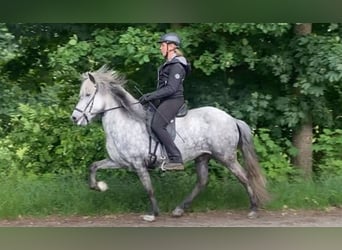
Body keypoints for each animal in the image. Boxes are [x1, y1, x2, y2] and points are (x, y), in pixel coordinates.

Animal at [71, 66, 270, 221]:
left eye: (88, 95)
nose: (74, 118)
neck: (125, 121)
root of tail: (231, 119)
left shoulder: (138, 164)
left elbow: (148, 188)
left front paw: (153, 214)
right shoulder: (119, 161)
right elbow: (93, 166)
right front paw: (99, 186)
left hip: (226, 157)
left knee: (244, 177)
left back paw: (253, 209)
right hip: (202, 157)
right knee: (202, 182)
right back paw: (179, 210)